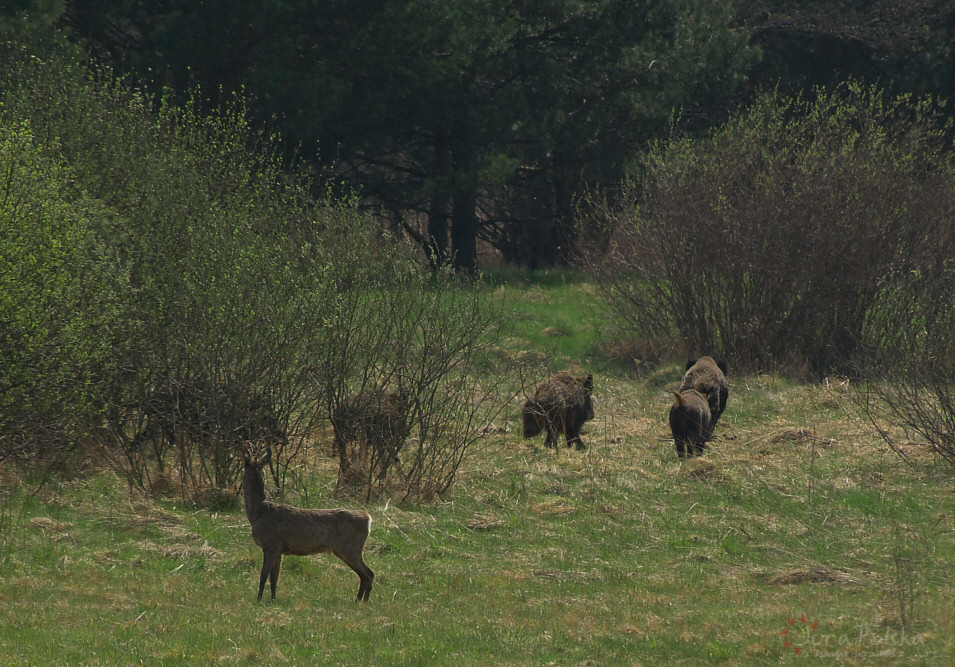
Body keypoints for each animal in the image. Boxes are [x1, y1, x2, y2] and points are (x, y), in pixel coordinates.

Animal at [241, 448, 376, 604]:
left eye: (243, 469)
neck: (258, 512)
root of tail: (368, 518)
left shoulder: (270, 545)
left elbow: (263, 576)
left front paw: (258, 600)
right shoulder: (279, 550)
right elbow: (274, 579)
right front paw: (273, 599)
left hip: (350, 548)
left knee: (369, 574)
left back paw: (363, 602)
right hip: (348, 549)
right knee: (365, 575)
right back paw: (358, 600)